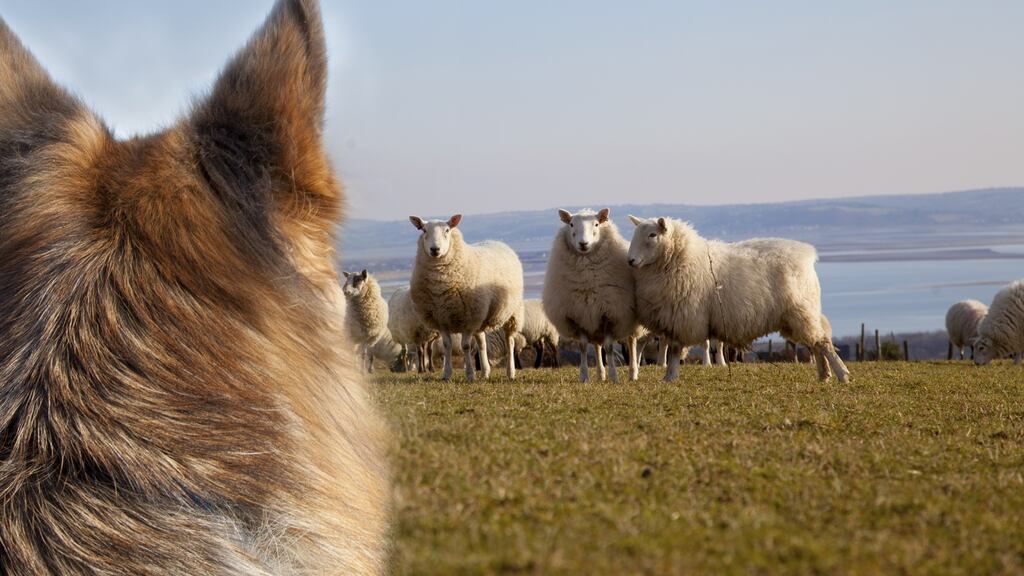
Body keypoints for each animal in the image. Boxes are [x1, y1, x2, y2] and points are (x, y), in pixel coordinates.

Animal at [409, 214, 525, 381]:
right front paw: (447, 374)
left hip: (511, 311)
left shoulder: (468, 319)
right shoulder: (441, 318)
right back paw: (485, 372)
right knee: (482, 342)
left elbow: (465, 346)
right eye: (424, 230)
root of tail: (498, 241)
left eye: (447, 230)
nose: (434, 249)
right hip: (481, 314)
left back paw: (510, 372)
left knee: (510, 341)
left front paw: (470, 374)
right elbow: (447, 345)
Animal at [542, 208, 640, 383]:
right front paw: (584, 376)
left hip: (628, 320)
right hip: (593, 321)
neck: (586, 278)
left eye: (596, 224)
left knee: (631, 342)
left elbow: (609, 347)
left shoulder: (609, 314)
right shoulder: (578, 314)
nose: (583, 244)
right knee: (596, 345)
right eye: (571, 224)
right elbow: (583, 346)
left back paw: (632, 373)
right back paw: (600, 374)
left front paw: (614, 377)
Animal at [626, 216, 850, 383]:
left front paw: (670, 377)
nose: (630, 261)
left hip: (802, 312)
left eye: (652, 234)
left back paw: (842, 374)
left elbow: (675, 350)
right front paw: (668, 377)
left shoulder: (685, 316)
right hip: (795, 317)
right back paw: (824, 375)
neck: (681, 257)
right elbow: (673, 348)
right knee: (816, 343)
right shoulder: (676, 317)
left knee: (823, 342)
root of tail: (806, 256)